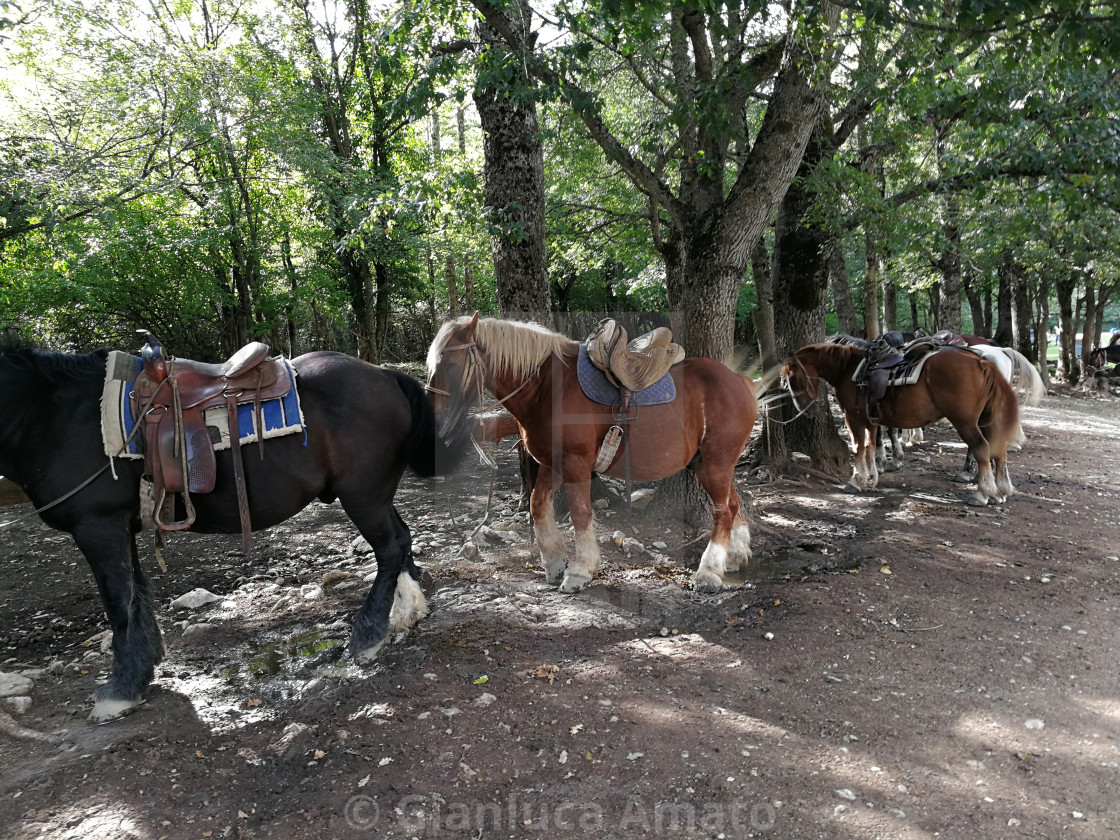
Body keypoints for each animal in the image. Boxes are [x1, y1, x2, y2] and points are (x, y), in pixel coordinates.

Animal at [0, 342, 463, 725]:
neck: (55, 416)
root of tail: (385, 374)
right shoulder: (121, 527)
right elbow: (138, 594)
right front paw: (143, 667)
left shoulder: (98, 525)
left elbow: (119, 604)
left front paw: (121, 688)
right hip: (376, 494)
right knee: (402, 540)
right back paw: (408, 611)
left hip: (362, 494)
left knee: (390, 547)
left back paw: (368, 632)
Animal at [423, 313, 757, 595]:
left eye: (448, 363)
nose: (431, 416)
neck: (547, 388)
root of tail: (741, 381)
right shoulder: (552, 464)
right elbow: (538, 505)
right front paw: (554, 562)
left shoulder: (575, 464)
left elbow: (580, 514)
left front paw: (580, 570)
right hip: (707, 464)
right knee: (733, 504)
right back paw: (734, 556)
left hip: (716, 463)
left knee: (722, 511)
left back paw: (709, 572)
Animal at [784, 342, 1021, 506]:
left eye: (793, 379)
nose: (806, 410)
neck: (847, 369)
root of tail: (981, 361)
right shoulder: (871, 420)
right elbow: (871, 446)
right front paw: (871, 478)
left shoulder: (854, 417)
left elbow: (858, 447)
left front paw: (856, 480)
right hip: (985, 420)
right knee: (998, 450)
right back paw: (1000, 492)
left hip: (965, 422)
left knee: (982, 448)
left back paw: (982, 493)